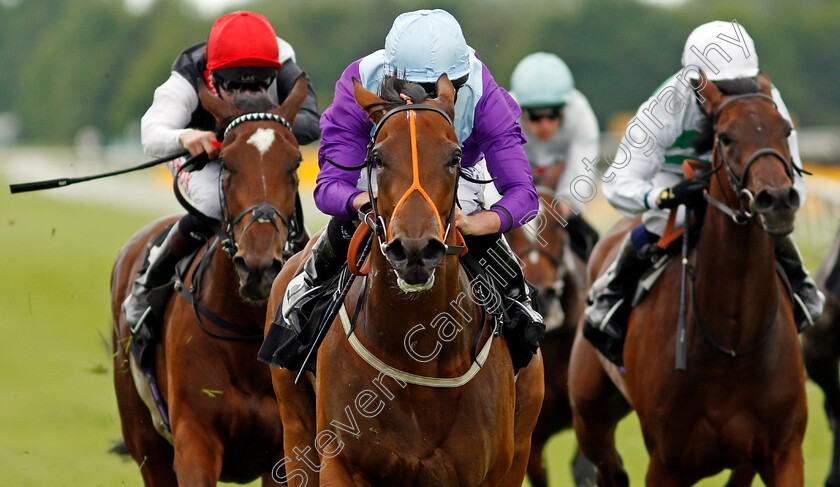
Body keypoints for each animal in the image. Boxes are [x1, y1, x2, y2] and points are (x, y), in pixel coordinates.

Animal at [110, 76, 308, 487]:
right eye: (227, 163)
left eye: (295, 162)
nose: (259, 266)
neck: (246, 332)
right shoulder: (194, 442)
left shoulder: (284, 452)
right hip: (145, 441)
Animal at [268, 74, 544, 486]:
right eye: (378, 158)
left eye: (455, 157)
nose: (414, 249)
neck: (420, 353)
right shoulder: (341, 463)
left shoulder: (490, 470)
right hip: (295, 425)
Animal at [572, 70, 808, 486]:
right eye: (725, 136)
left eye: (786, 129)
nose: (777, 200)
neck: (731, 342)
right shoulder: (667, 462)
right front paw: (684, 190)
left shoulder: (783, 451)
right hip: (589, 414)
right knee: (610, 468)